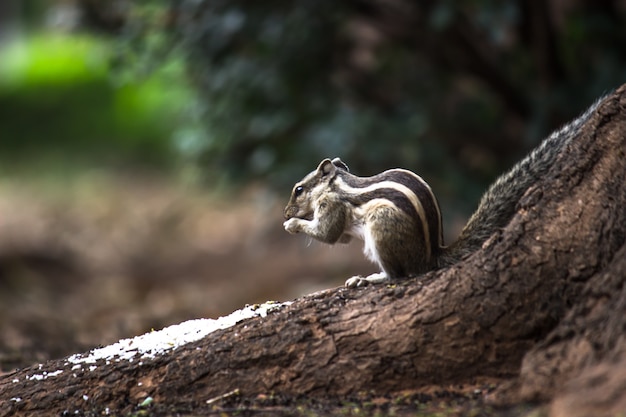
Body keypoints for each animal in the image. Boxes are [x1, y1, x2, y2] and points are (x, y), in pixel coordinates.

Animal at [282, 96, 600, 286]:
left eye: (299, 189)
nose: (284, 213)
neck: (337, 183)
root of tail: (431, 255)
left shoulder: (332, 204)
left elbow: (327, 234)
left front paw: (293, 224)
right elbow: (340, 238)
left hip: (382, 229)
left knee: (398, 275)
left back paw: (370, 279)